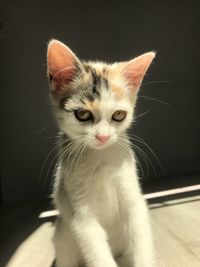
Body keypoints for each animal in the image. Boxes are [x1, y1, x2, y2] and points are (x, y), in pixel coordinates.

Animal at [47, 40, 156, 267]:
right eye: (83, 114)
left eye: (119, 115)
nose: (103, 137)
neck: (101, 158)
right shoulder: (80, 213)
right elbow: (95, 249)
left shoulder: (132, 196)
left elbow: (140, 227)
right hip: (63, 236)